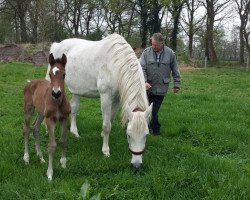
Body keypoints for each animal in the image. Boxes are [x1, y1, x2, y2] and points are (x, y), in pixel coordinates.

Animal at [23, 52, 71, 180]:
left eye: (64, 74)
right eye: (50, 74)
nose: (56, 93)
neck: (58, 103)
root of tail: (30, 82)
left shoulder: (65, 118)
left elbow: (63, 141)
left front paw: (63, 164)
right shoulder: (50, 120)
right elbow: (51, 146)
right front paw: (50, 173)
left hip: (40, 113)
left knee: (35, 128)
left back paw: (41, 158)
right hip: (28, 110)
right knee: (26, 130)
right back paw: (26, 158)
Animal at [46, 33, 152, 169]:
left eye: (146, 135)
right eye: (129, 135)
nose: (137, 165)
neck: (116, 63)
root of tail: (57, 45)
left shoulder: (116, 98)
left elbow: (110, 119)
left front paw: (102, 135)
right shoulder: (105, 95)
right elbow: (107, 125)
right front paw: (105, 150)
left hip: (76, 90)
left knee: (74, 109)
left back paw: (75, 132)